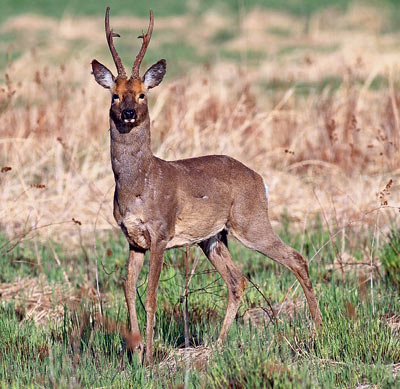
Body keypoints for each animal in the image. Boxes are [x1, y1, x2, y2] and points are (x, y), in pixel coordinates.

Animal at [90, 6, 322, 364]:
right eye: (114, 95)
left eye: (143, 94)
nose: (128, 112)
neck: (139, 184)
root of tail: (260, 179)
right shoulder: (133, 238)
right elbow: (127, 290)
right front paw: (136, 351)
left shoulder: (161, 231)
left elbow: (151, 293)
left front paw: (148, 358)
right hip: (213, 236)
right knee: (237, 280)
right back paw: (218, 345)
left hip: (250, 220)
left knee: (296, 258)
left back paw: (317, 334)